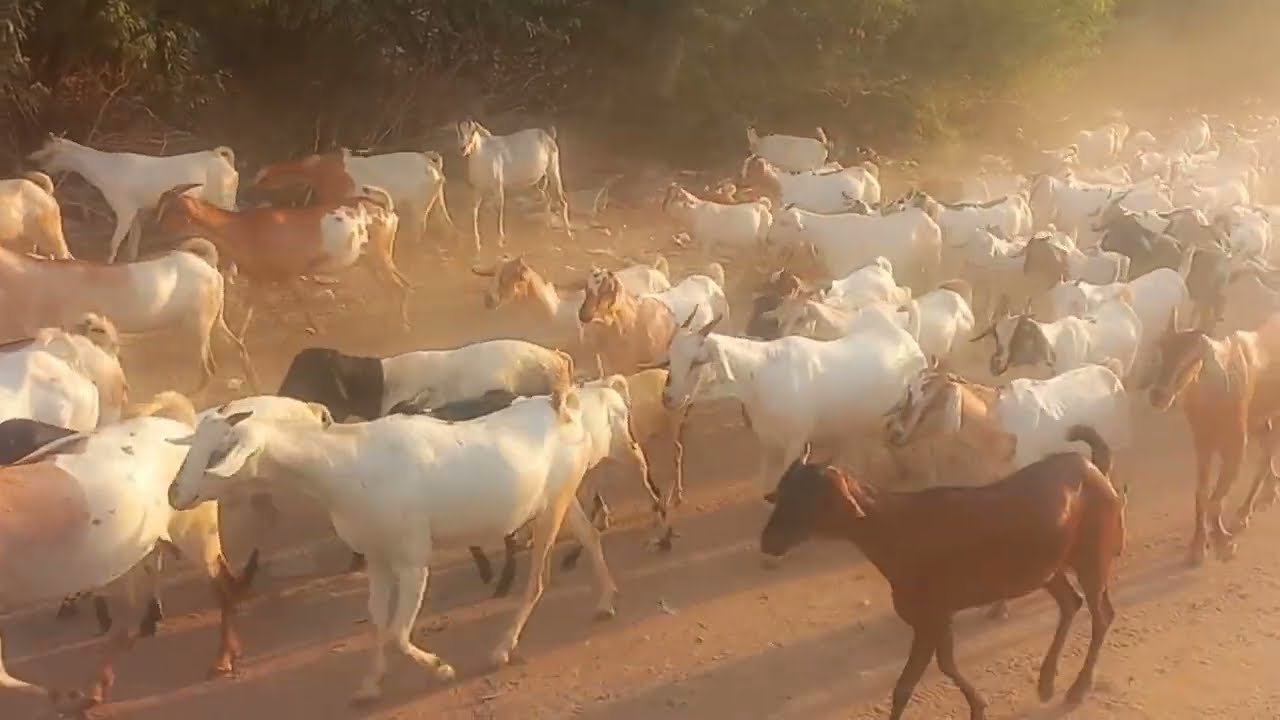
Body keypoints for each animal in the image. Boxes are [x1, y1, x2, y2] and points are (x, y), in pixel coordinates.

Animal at [27, 135, 238, 262]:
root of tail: (223, 159)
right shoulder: (137, 212)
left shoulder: (125, 210)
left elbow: (114, 243)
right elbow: (132, 245)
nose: (34, 160)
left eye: (50, 150)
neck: (105, 169)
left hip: (223, 201)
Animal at [456, 119, 571, 251]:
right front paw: (477, 244)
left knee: (562, 201)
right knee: (547, 199)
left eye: (472, 132)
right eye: (460, 132)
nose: (463, 148)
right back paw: (545, 231)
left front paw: (500, 241)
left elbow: (499, 210)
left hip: (553, 170)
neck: (482, 155)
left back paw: (568, 235)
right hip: (542, 178)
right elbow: (474, 211)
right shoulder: (477, 190)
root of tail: (549, 136)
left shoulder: (498, 188)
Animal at [760, 428, 1123, 719]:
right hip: (1047, 568)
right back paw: (1046, 683)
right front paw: (979, 707)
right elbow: (941, 667)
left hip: (1092, 560)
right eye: (783, 493)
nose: (768, 541)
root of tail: (1094, 469)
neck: (895, 527)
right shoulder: (935, 619)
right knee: (1070, 603)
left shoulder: (930, 618)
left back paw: (1077, 688)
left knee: (1101, 614)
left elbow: (907, 685)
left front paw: (978, 707)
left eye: (811, 500)